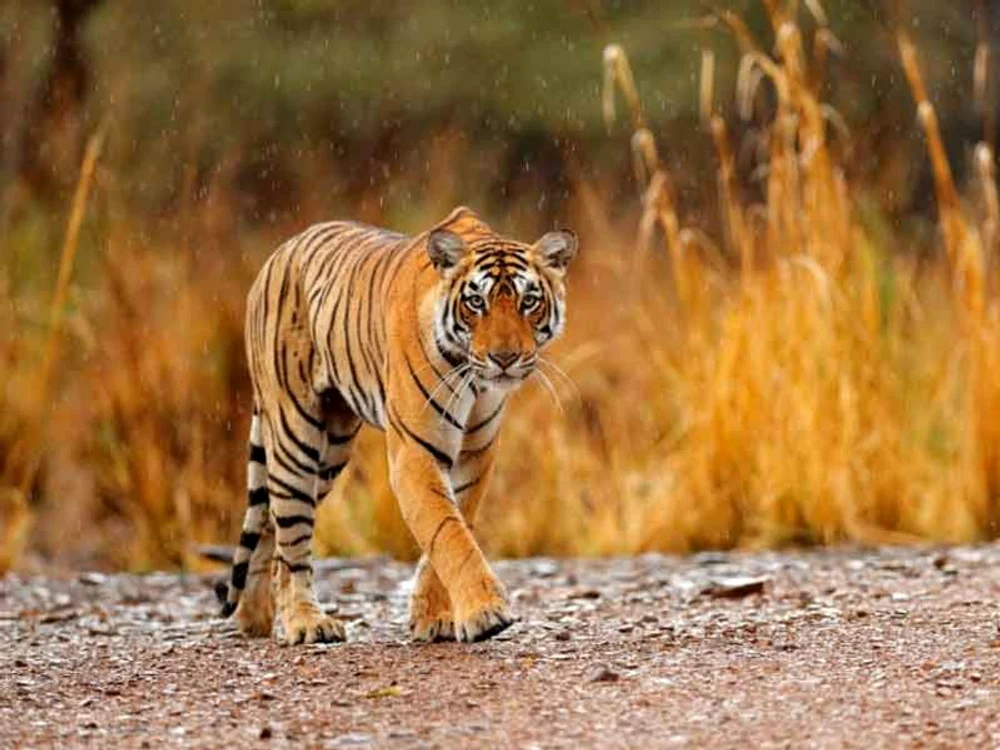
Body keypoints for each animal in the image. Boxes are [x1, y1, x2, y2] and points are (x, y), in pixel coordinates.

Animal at [218, 206, 577, 644]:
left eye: (529, 301)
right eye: (476, 302)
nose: (504, 358)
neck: (474, 379)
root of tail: (278, 252)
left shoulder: (474, 454)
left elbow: (451, 528)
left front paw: (432, 617)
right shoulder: (416, 452)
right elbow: (448, 533)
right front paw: (487, 612)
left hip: (332, 447)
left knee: (272, 525)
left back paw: (255, 618)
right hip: (295, 434)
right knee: (292, 538)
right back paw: (306, 622)